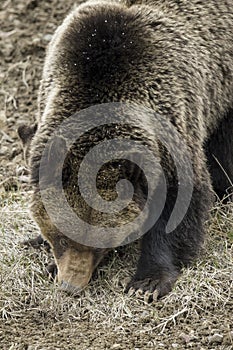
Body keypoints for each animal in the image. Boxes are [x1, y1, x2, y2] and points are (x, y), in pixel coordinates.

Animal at [20, 0, 232, 300]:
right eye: (59, 237)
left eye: (97, 241)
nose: (71, 285)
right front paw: (44, 255)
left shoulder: (172, 124)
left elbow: (178, 206)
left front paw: (148, 281)